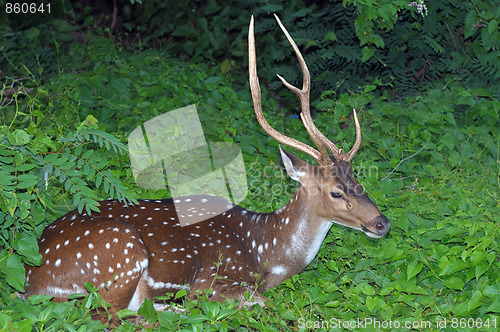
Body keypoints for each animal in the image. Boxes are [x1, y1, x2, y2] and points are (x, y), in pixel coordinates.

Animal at [22, 15, 390, 312]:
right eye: (336, 192)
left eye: (358, 179)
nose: (382, 223)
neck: (265, 256)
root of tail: (29, 275)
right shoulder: (213, 280)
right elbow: (259, 301)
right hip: (120, 252)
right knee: (107, 313)